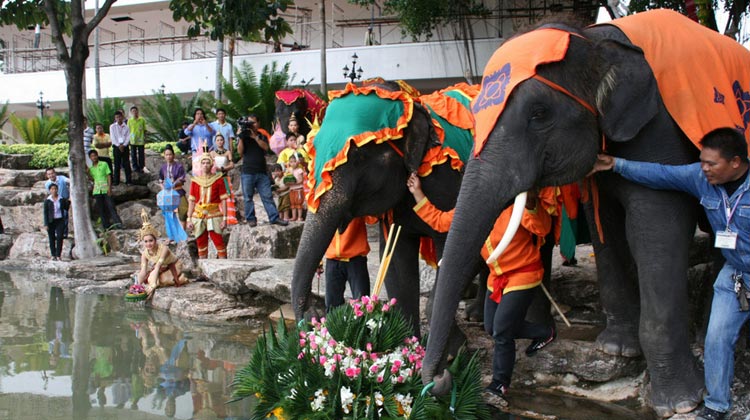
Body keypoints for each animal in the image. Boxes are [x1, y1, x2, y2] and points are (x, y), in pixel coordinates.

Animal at [424, 9, 750, 416]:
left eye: (539, 113)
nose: (441, 378)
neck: (593, 39)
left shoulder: (659, 131)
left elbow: (656, 226)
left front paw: (681, 404)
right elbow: (604, 225)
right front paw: (617, 348)